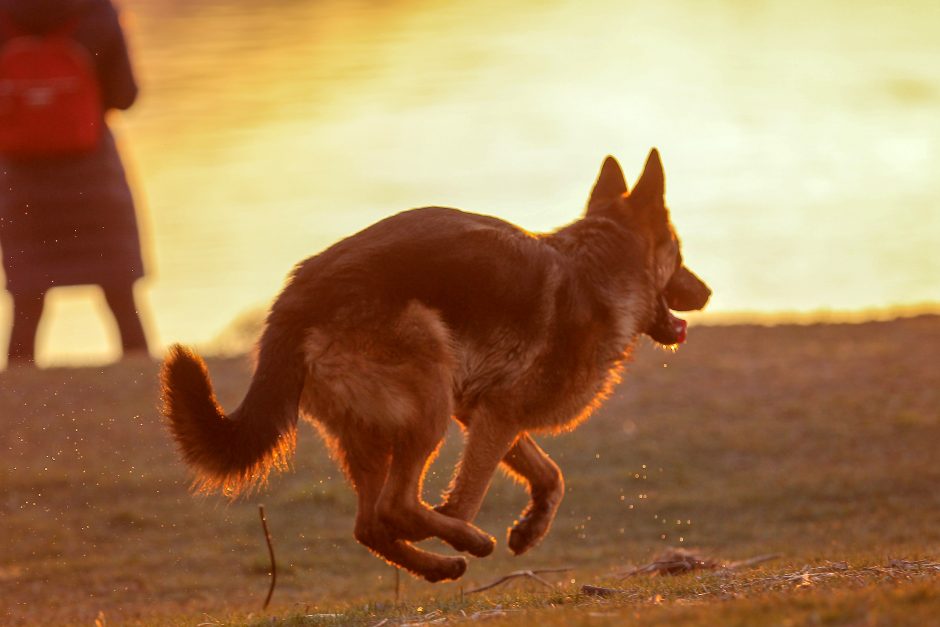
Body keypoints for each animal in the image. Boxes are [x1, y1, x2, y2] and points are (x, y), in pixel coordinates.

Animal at [162, 151, 708, 584]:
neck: (598, 266)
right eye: (680, 254)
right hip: (429, 400)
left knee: (370, 524)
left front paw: (530, 528)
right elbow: (473, 491)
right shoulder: (496, 415)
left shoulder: (486, 411)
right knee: (396, 507)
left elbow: (550, 473)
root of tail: (296, 297)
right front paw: (466, 524)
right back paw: (465, 542)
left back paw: (437, 566)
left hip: (374, 428)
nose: (707, 292)